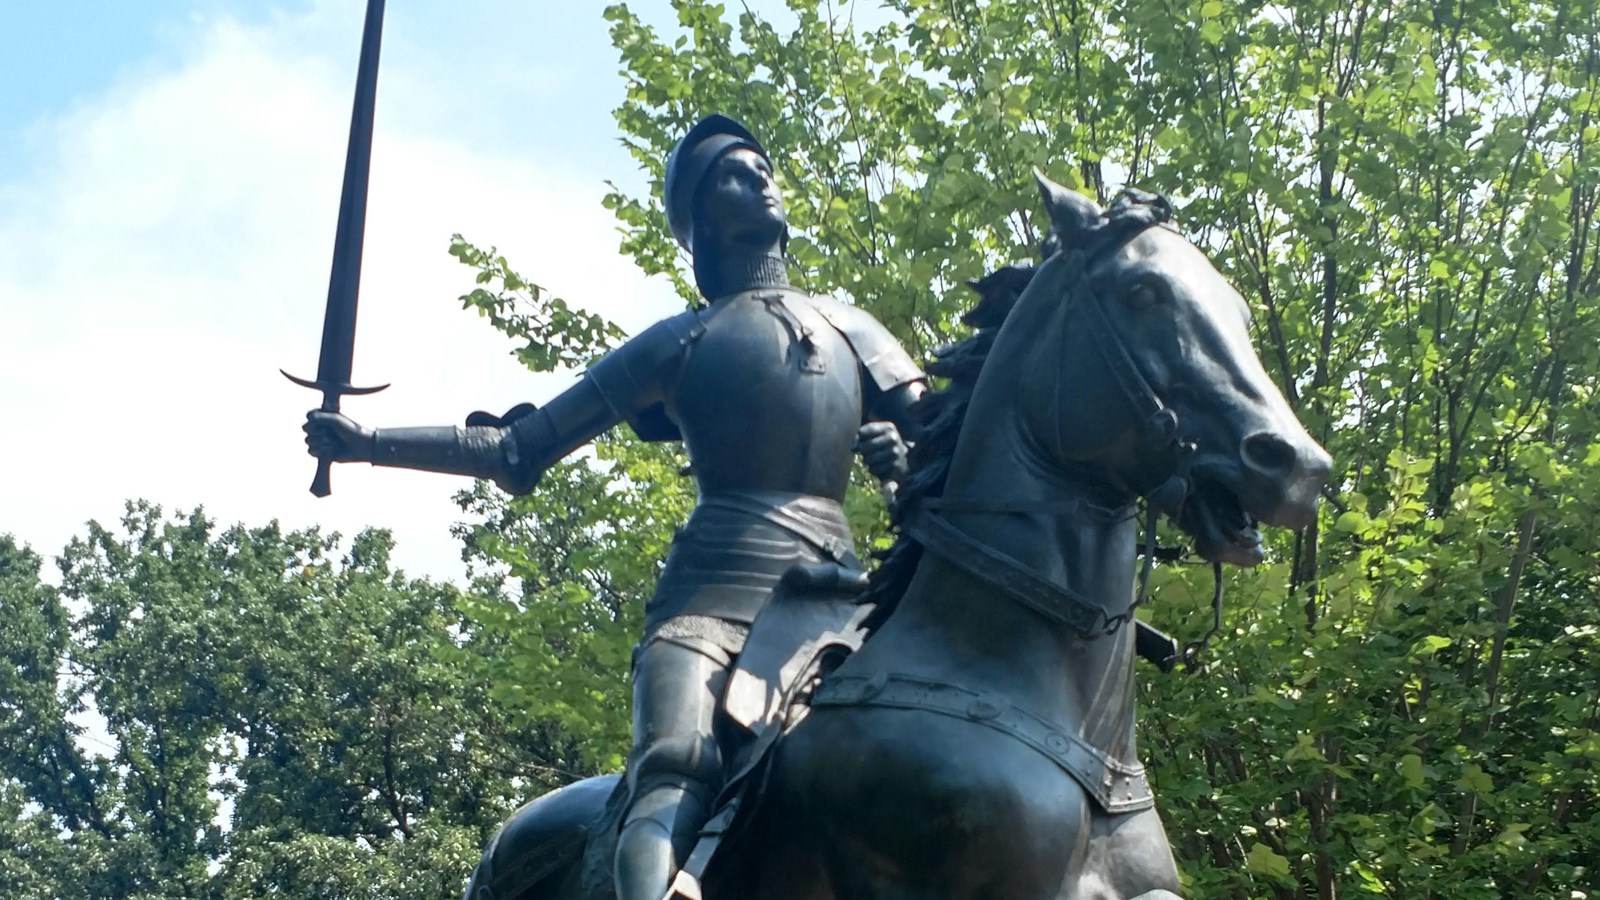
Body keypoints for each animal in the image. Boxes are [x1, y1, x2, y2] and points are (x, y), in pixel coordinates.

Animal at [460, 169, 1324, 896]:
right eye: (1143, 291)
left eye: (1236, 309)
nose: (1295, 466)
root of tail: (507, 832)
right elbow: (522, 448)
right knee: (675, 769)